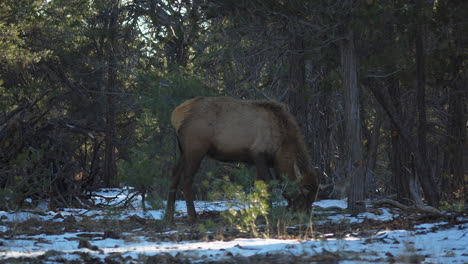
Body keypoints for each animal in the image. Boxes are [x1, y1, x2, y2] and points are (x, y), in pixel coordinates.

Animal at [166, 96, 320, 222]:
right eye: (304, 192)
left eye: (313, 197)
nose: (304, 215)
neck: (281, 148)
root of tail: (175, 116)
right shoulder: (258, 153)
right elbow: (268, 184)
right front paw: (268, 212)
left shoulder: (257, 161)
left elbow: (259, 185)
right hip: (196, 149)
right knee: (186, 178)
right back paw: (192, 216)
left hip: (183, 151)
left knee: (174, 173)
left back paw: (169, 215)